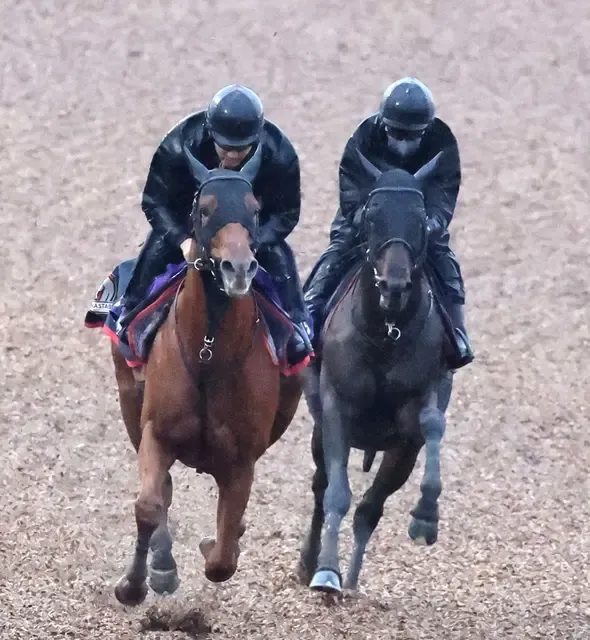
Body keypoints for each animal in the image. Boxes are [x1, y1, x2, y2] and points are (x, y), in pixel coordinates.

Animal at [112, 144, 306, 604]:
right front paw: (133, 584)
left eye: (255, 209)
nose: (239, 268)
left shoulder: (242, 459)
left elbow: (221, 559)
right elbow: (148, 505)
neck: (208, 356)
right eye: (204, 209)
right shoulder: (156, 432)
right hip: (129, 404)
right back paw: (162, 566)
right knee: (162, 492)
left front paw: (218, 542)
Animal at [300, 151, 454, 596]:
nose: (394, 285)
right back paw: (313, 566)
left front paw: (426, 518)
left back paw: (352, 579)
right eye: (371, 217)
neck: (386, 333)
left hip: (395, 455)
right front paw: (325, 573)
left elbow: (430, 423)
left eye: (420, 220)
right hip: (321, 434)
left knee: (371, 506)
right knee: (322, 488)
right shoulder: (336, 407)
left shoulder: (416, 414)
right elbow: (336, 493)